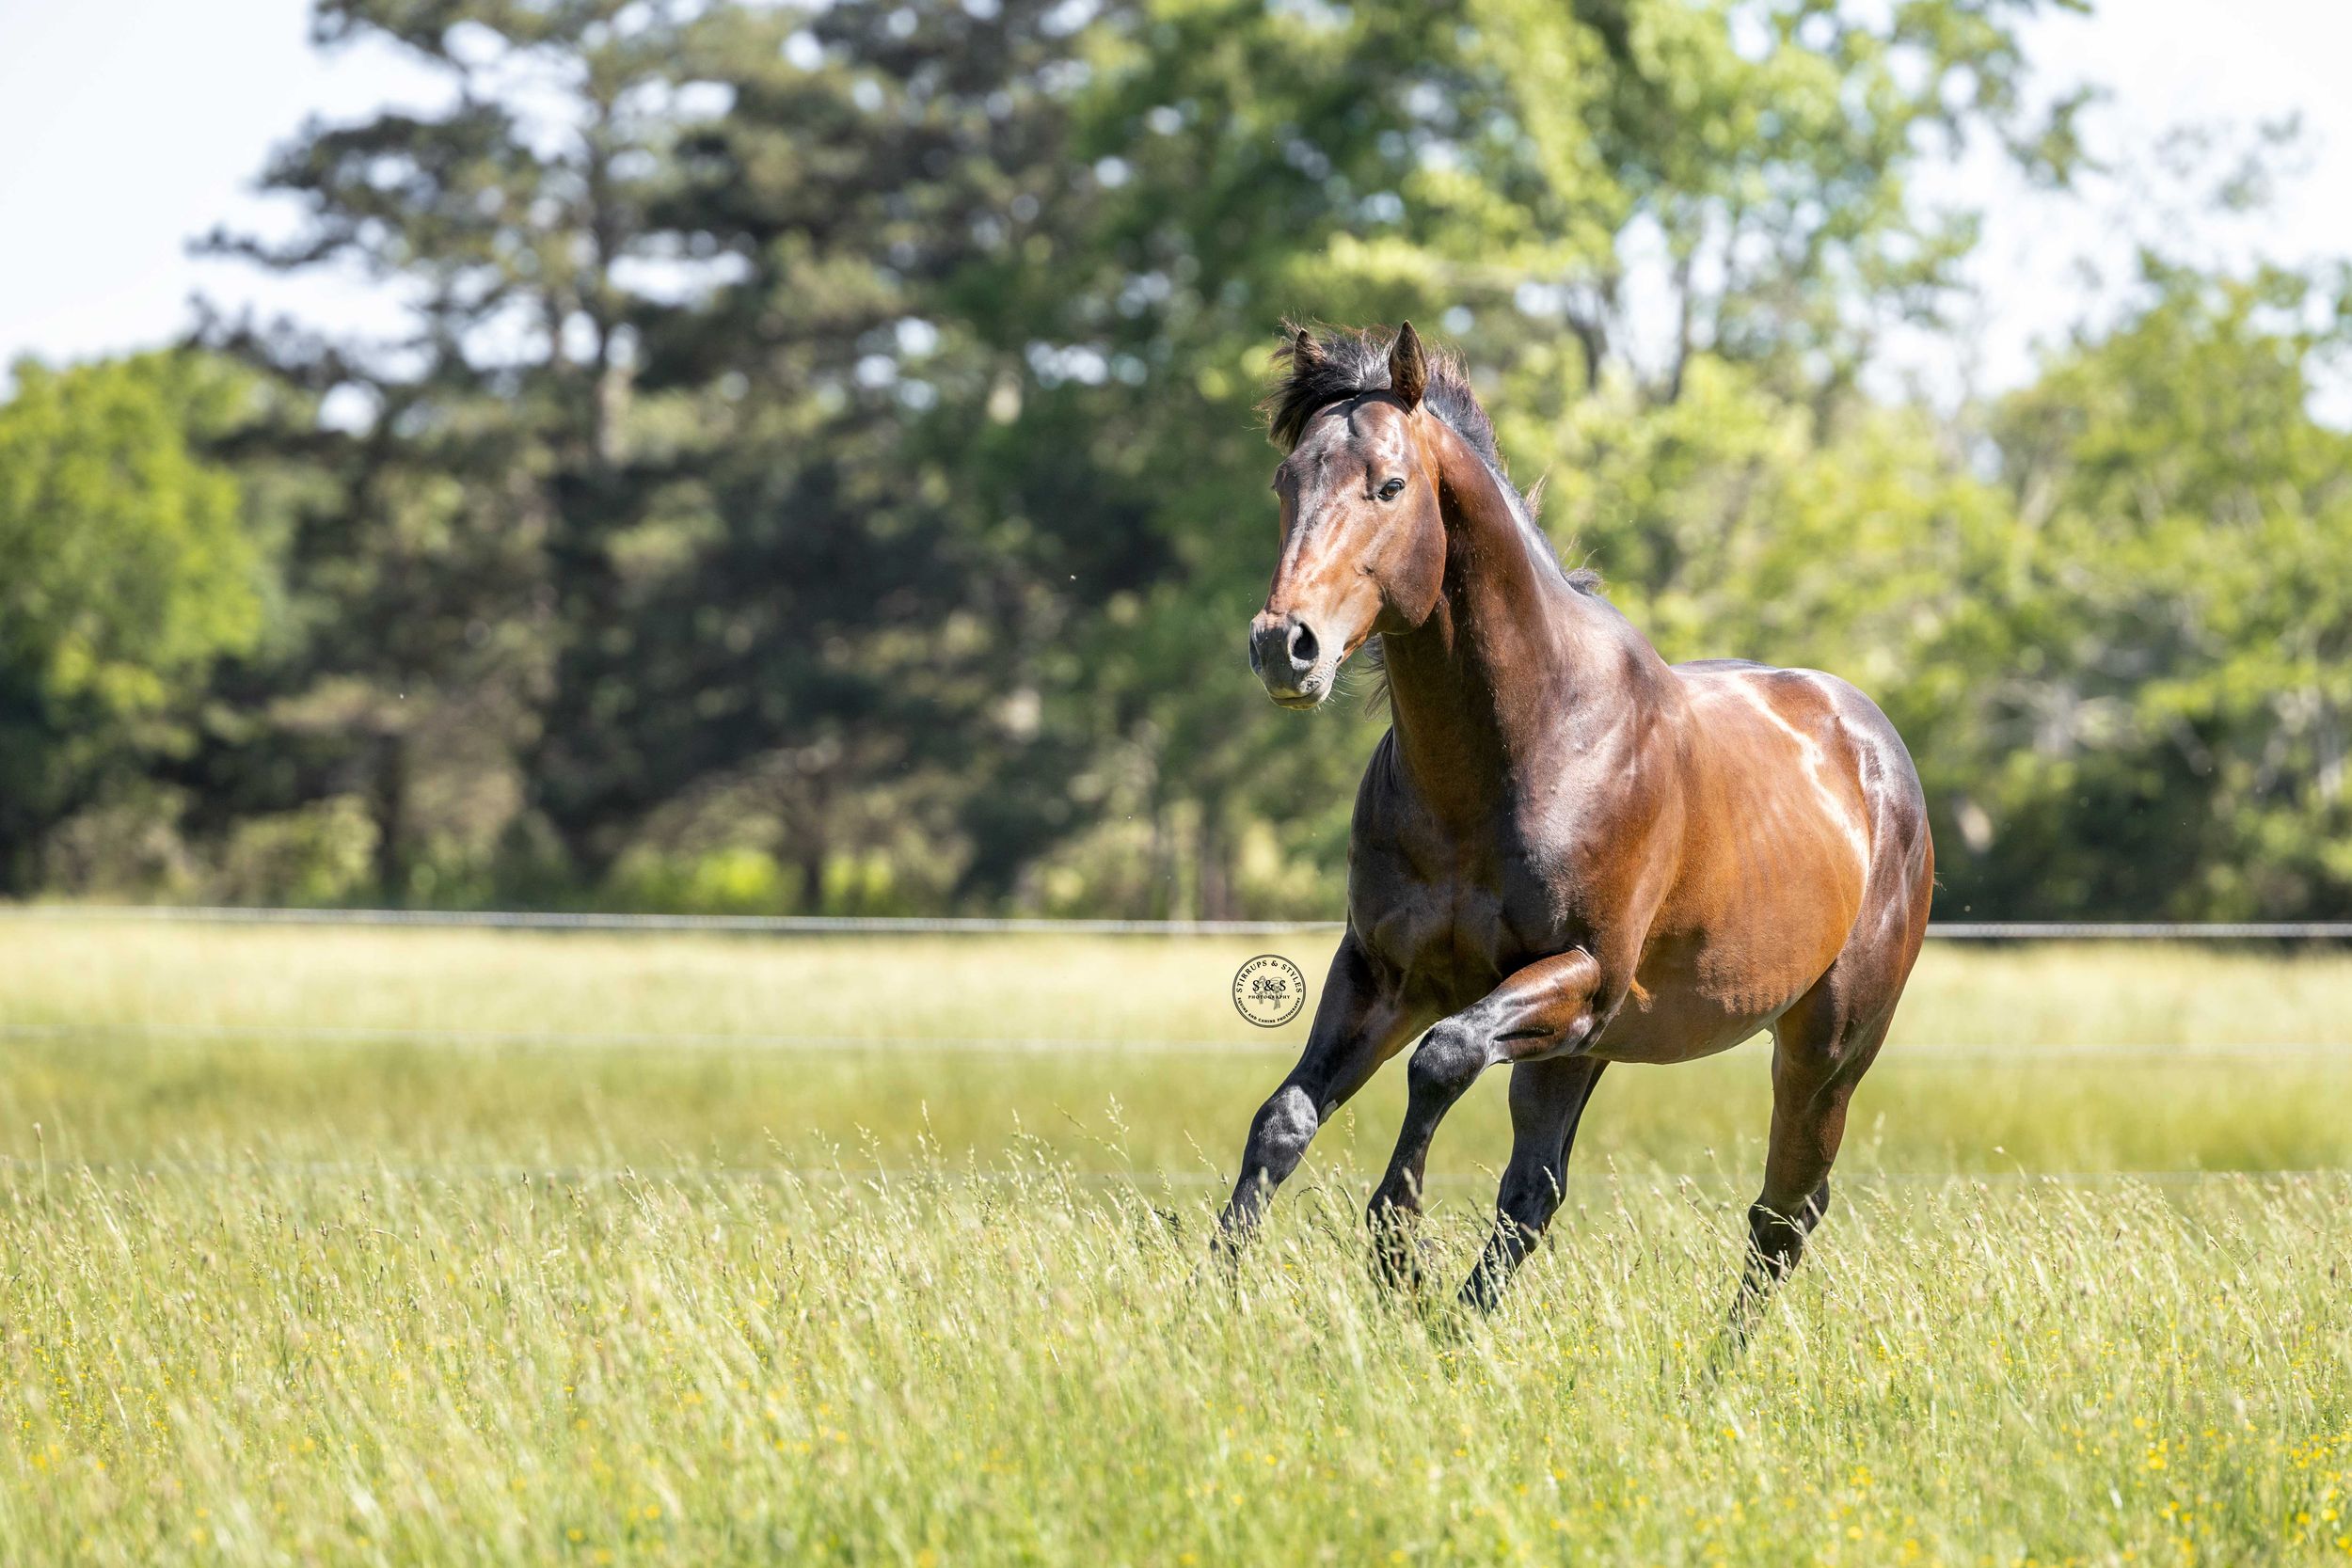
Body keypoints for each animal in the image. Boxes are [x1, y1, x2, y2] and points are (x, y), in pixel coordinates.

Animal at [1217, 321, 1934, 1336]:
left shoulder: (1578, 975)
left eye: (1388, 485)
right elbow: (1285, 1118)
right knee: (1539, 1190)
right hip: (1580, 1051)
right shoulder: (1384, 974)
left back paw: (1714, 1361)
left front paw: (1397, 1251)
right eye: (1287, 481)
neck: (1521, 752)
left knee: (1783, 1211)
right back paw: (1464, 1330)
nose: (1286, 646)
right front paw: (1212, 1292)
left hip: (1821, 1050)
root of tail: (1875, 749)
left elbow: (1441, 1060)